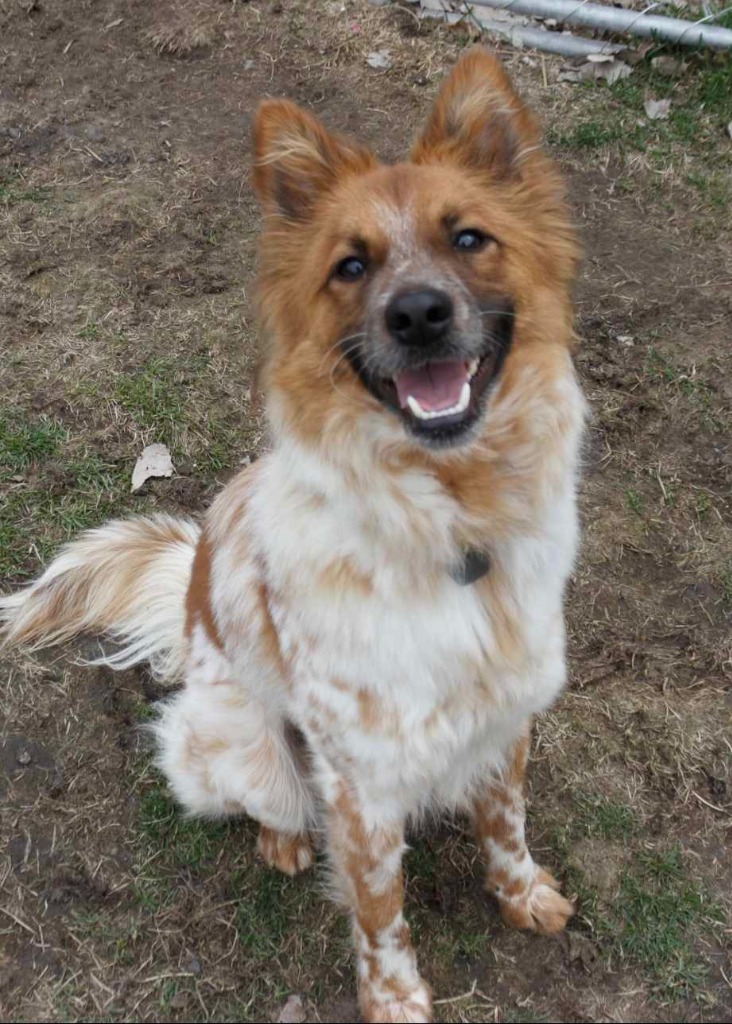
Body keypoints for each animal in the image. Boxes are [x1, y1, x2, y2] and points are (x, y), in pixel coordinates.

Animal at [0, 49, 585, 1024]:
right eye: (350, 266)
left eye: (469, 239)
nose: (418, 314)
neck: (451, 518)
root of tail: (187, 586)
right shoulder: (358, 779)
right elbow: (379, 906)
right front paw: (393, 998)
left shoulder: (507, 721)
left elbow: (507, 823)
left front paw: (523, 893)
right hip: (247, 749)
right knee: (264, 800)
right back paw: (281, 840)